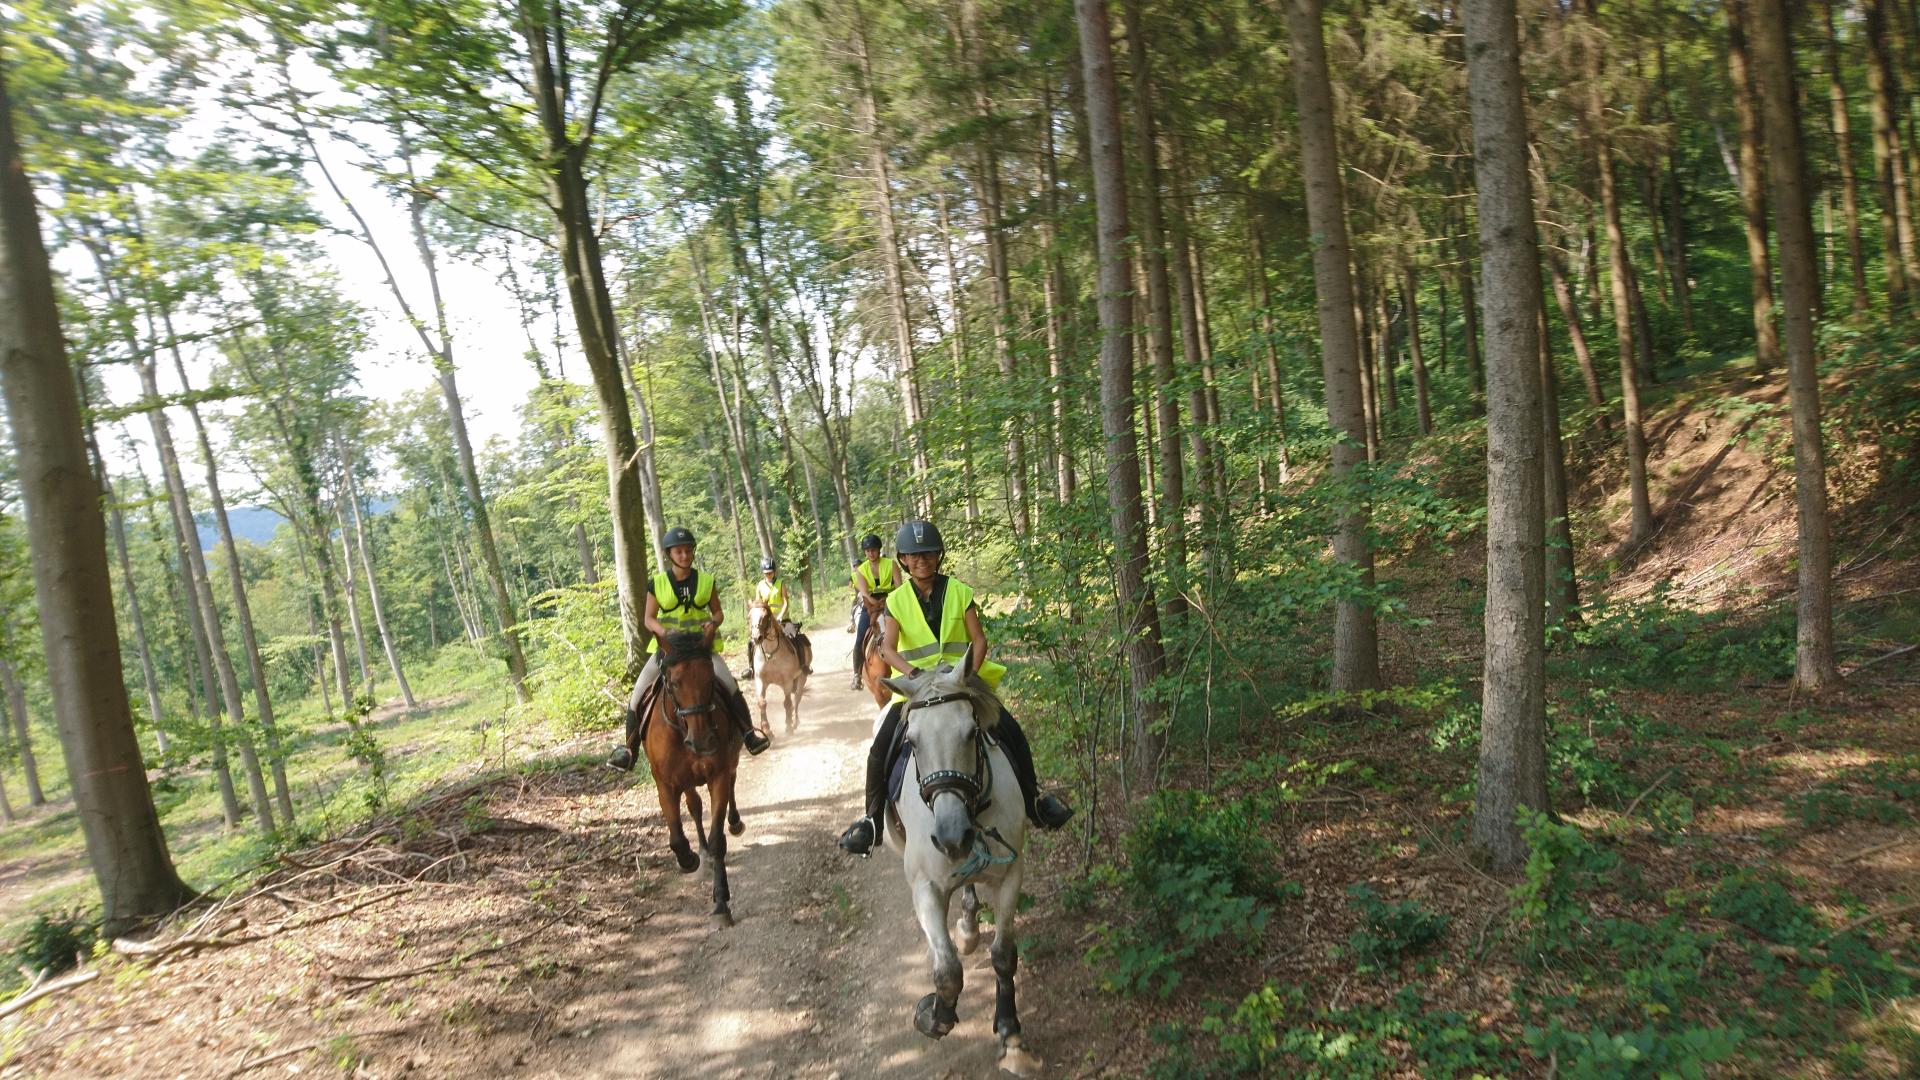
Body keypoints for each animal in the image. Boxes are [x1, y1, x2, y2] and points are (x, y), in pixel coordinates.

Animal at [633, 630, 744, 926]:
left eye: (710, 679)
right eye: (673, 683)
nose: (703, 740)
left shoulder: (718, 775)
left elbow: (718, 840)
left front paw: (721, 902)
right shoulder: (666, 785)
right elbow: (677, 839)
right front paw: (689, 860)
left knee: (732, 783)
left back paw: (734, 823)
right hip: (686, 782)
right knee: (694, 806)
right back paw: (700, 854)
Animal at [744, 595, 806, 730]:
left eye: (766, 616)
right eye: (749, 617)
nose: (756, 637)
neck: (770, 654)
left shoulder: (787, 681)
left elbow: (787, 703)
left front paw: (788, 728)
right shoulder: (760, 680)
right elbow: (762, 703)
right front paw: (766, 729)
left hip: (801, 678)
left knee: (797, 698)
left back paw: (795, 721)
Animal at [879, 653, 1044, 1068]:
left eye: (972, 733)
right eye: (911, 741)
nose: (953, 836)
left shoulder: (1011, 875)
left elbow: (1003, 955)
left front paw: (1010, 1034)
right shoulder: (925, 887)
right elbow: (949, 971)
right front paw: (934, 1016)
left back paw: (968, 930)